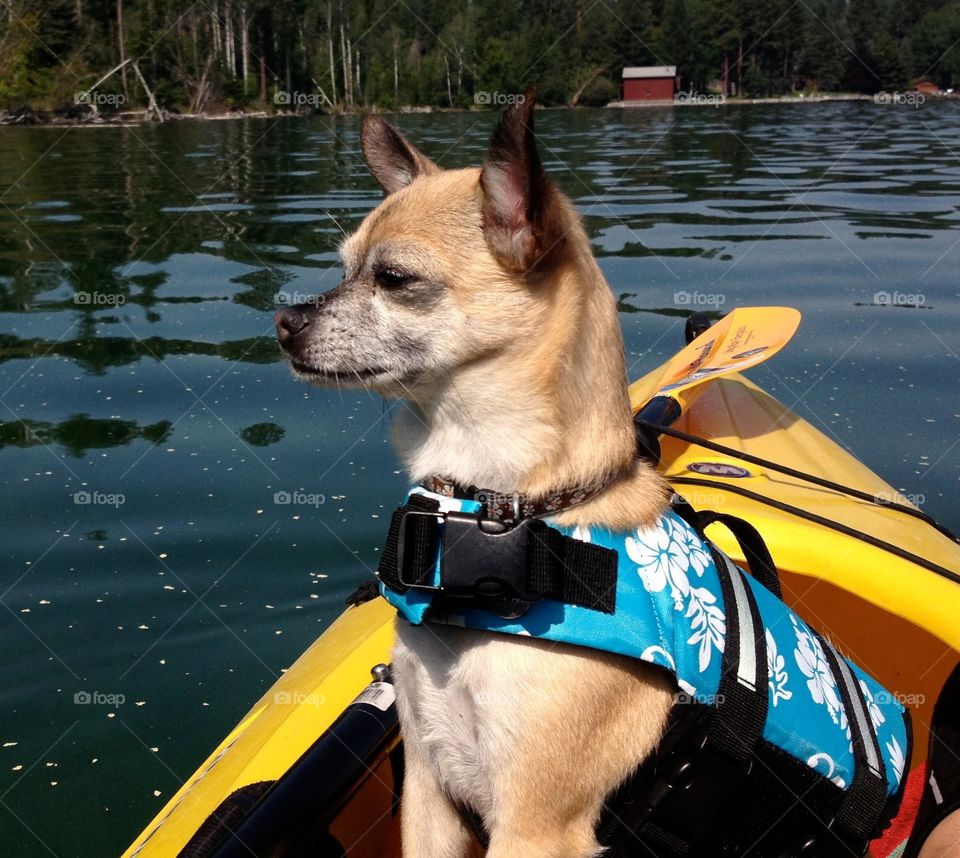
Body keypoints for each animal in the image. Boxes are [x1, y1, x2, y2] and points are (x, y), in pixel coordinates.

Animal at [278, 93, 676, 856]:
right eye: (341, 270)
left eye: (394, 279)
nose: (284, 319)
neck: (502, 509)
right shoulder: (429, 786)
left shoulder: (535, 827)